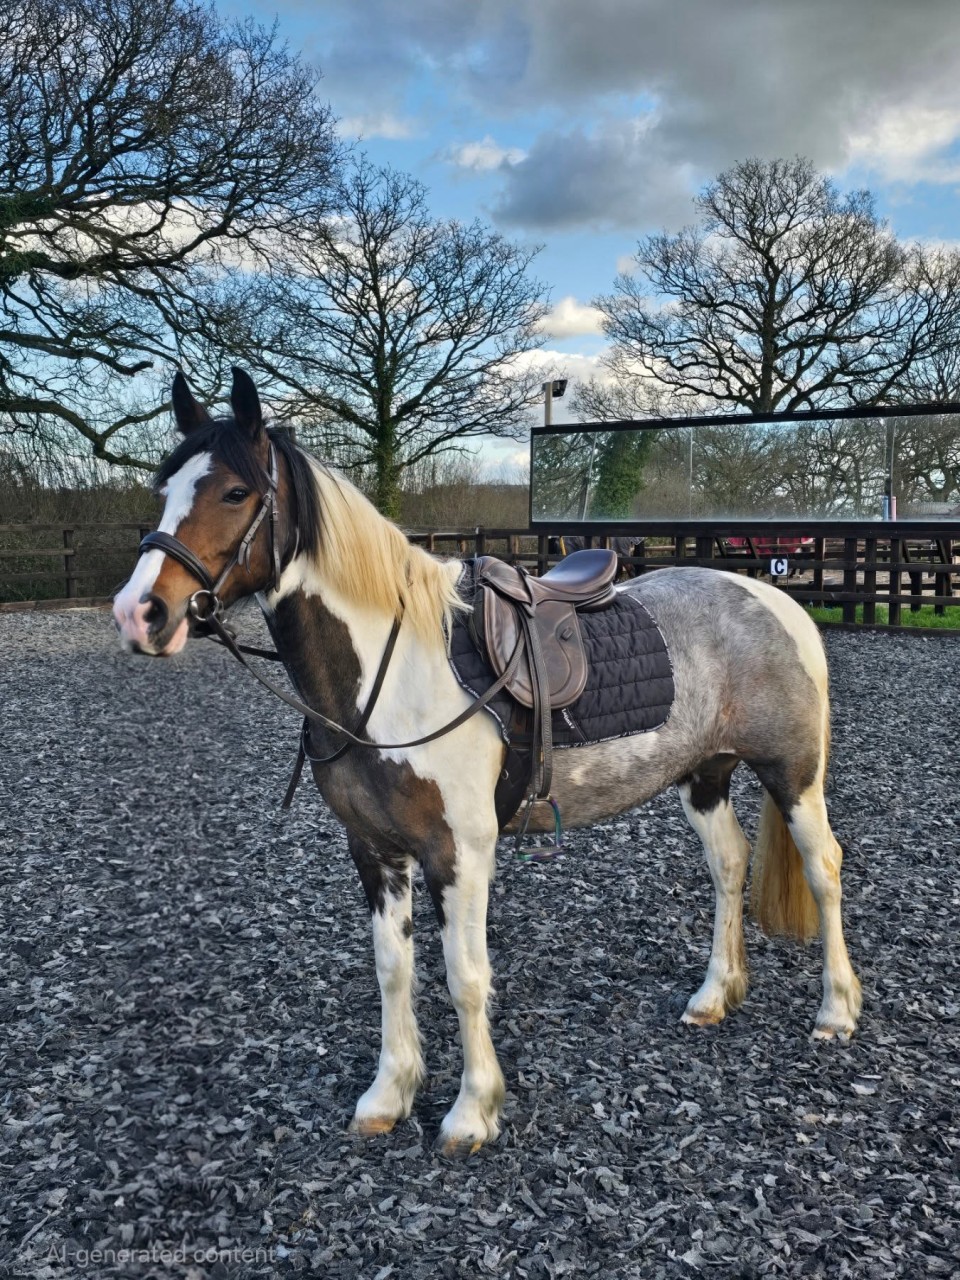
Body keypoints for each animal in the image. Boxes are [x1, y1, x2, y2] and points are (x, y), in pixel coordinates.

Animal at [113, 369, 861, 1155]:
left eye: (234, 492)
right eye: (163, 490)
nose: (139, 613)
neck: (390, 675)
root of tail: (774, 596)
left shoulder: (460, 852)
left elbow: (464, 977)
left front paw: (472, 1112)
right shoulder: (374, 850)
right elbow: (393, 969)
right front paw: (389, 1094)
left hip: (793, 776)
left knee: (824, 869)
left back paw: (837, 1011)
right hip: (705, 775)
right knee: (729, 864)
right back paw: (714, 996)